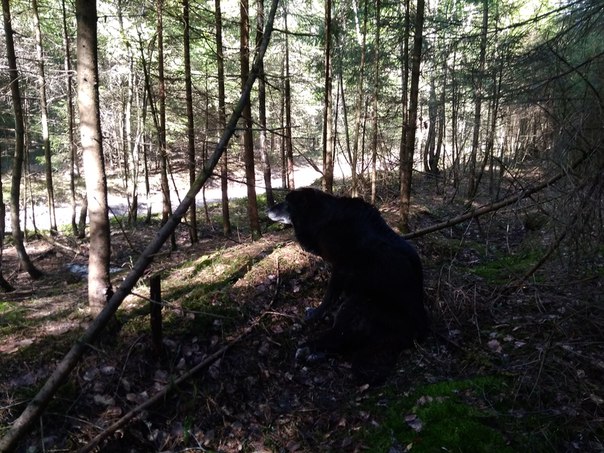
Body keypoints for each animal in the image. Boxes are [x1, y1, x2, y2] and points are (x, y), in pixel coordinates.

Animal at [268, 188, 430, 378]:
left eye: (287, 202)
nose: (267, 210)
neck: (325, 218)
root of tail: (419, 330)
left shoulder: (340, 268)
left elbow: (328, 297)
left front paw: (314, 315)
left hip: (355, 305)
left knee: (337, 338)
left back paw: (307, 349)